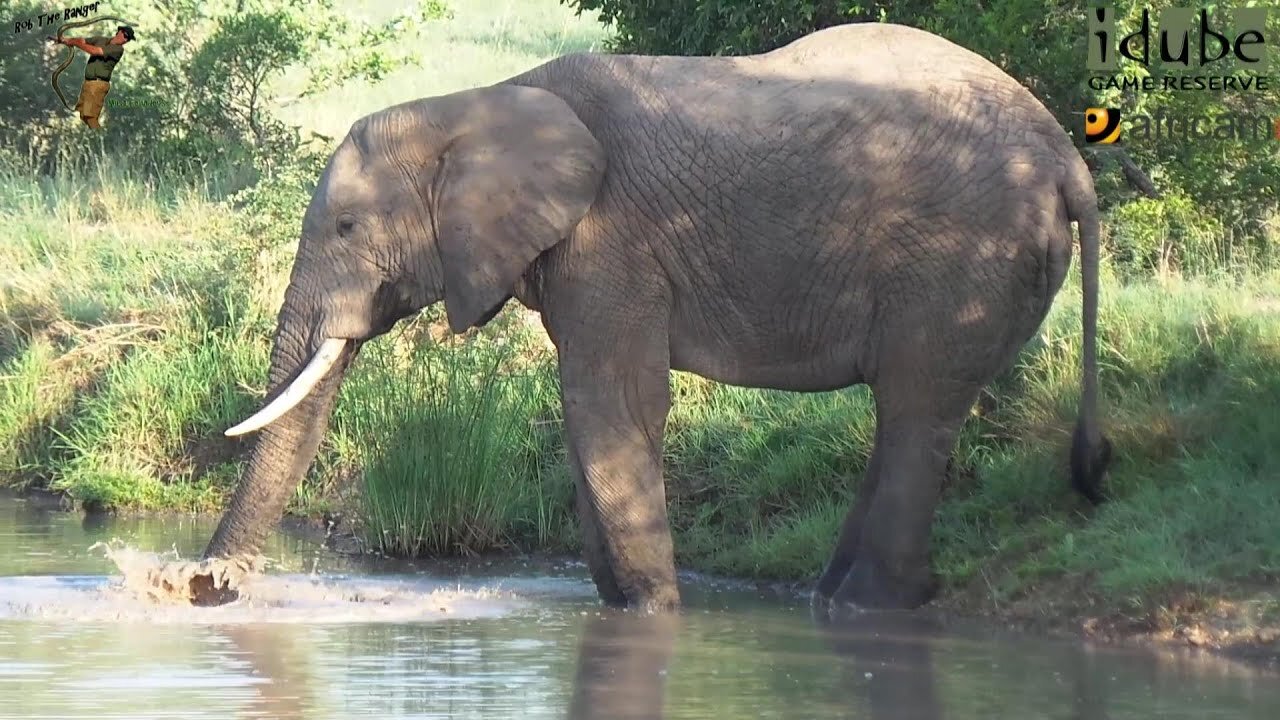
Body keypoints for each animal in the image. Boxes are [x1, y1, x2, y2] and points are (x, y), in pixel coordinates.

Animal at [199, 18, 1111, 609]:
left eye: (349, 228)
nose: (206, 587)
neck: (474, 105)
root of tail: (1069, 158)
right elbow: (590, 415)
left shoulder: (614, 241)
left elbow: (611, 405)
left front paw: (654, 616)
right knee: (908, 413)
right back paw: (841, 603)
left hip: (961, 259)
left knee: (917, 407)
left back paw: (873, 607)